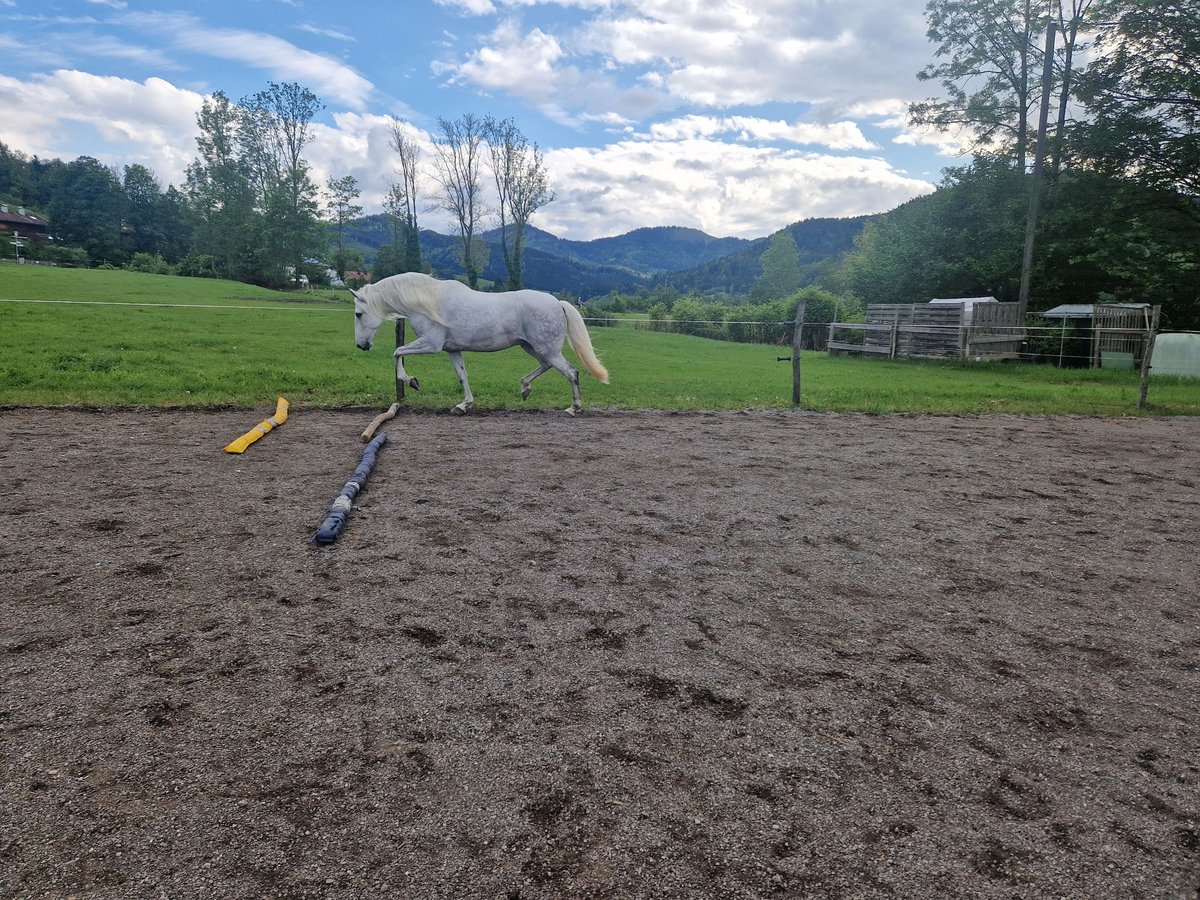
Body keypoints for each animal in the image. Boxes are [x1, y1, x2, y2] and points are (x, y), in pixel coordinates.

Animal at [348, 274, 609, 415]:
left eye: (359, 314)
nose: (361, 345)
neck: (427, 303)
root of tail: (558, 302)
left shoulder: (431, 344)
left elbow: (397, 352)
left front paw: (412, 381)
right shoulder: (452, 349)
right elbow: (462, 376)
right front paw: (464, 405)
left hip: (547, 349)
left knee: (571, 372)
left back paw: (573, 408)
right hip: (532, 347)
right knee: (546, 366)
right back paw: (525, 388)